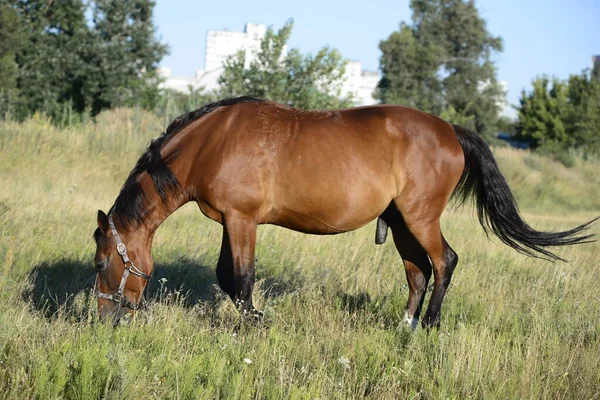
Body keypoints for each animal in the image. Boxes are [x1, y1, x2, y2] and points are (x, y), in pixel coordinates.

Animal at [94, 97, 596, 328]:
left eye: (101, 264)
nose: (105, 318)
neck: (212, 142)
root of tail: (450, 130)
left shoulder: (242, 221)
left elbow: (242, 279)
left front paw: (254, 324)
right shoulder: (231, 222)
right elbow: (226, 277)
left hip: (420, 218)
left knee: (443, 262)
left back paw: (430, 325)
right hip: (400, 223)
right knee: (417, 271)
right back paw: (406, 325)